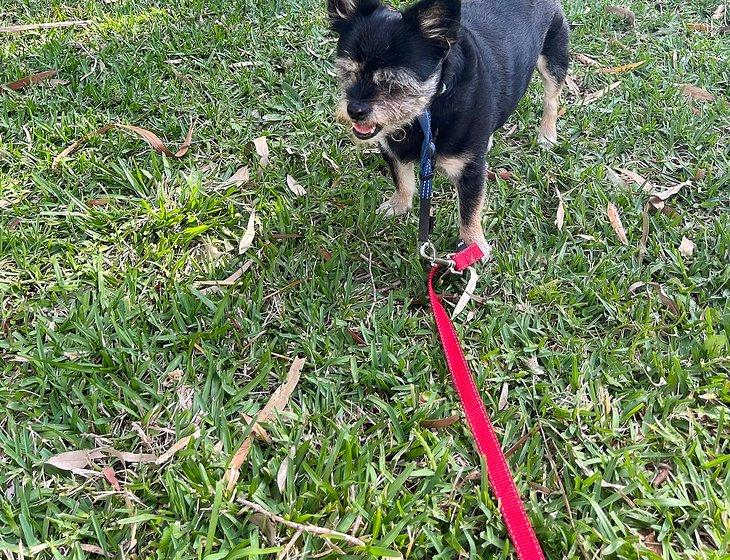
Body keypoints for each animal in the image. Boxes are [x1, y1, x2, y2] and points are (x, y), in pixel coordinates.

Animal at [326, 0, 568, 258]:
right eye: (348, 72)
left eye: (393, 83)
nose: (355, 110)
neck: (426, 113)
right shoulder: (393, 150)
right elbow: (403, 181)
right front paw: (398, 205)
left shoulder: (470, 171)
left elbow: (470, 211)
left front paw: (473, 246)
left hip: (554, 58)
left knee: (551, 100)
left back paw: (547, 134)